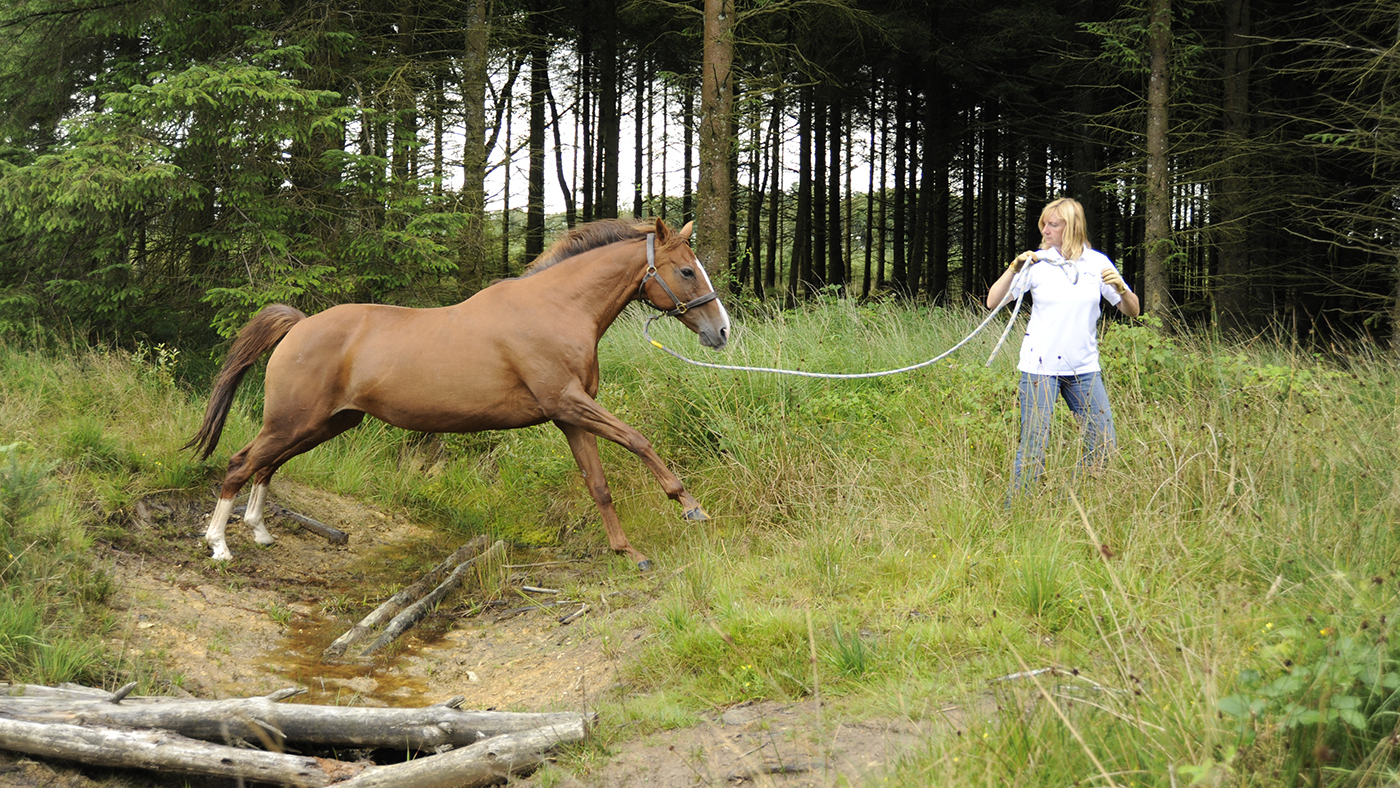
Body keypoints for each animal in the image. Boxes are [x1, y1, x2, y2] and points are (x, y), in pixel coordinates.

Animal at [184, 217, 730, 570]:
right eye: (686, 270)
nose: (721, 331)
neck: (555, 308)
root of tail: (299, 325)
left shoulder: (570, 416)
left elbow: (598, 484)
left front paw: (629, 553)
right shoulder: (570, 403)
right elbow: (638, 440)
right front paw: (691, 507)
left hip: (323, 423)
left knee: (266, 466)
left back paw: (259, 532)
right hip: (292, 421)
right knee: (241, 462)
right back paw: (219, 544)